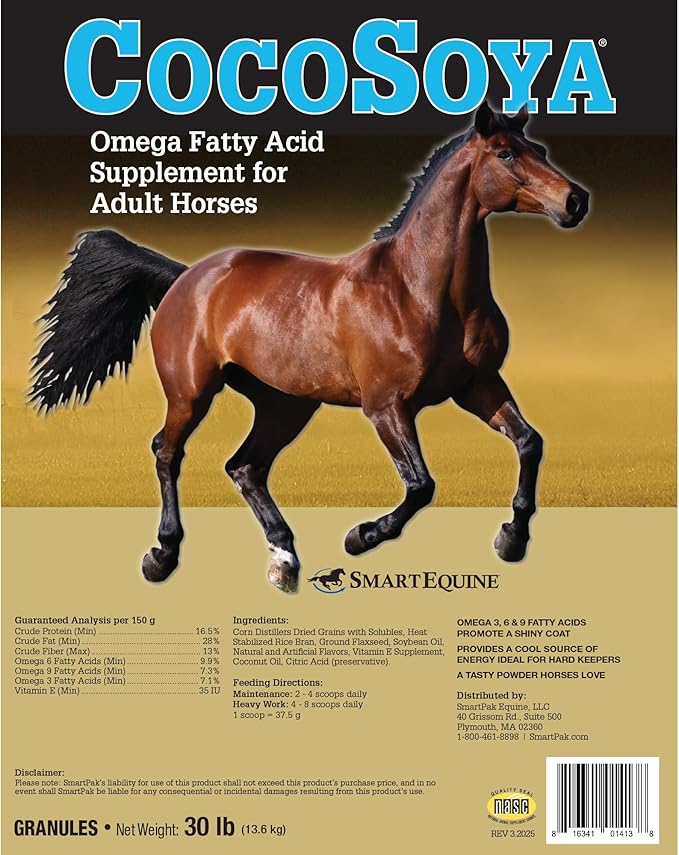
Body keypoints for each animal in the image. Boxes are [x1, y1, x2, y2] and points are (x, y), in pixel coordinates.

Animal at [29, 102, 589, 593]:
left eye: (538, 148)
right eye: (506, 153)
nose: (575, 201)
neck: (419, 290)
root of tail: (186, 276)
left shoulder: (479, 387)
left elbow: (530, 443)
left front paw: (511, 539)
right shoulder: (386, 406)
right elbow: (420, 485)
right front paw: (360, 537)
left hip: (286, 405)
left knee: (245, 467)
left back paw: (284, 559)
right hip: (191, 394)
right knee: (168, 452)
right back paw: (162, 556)